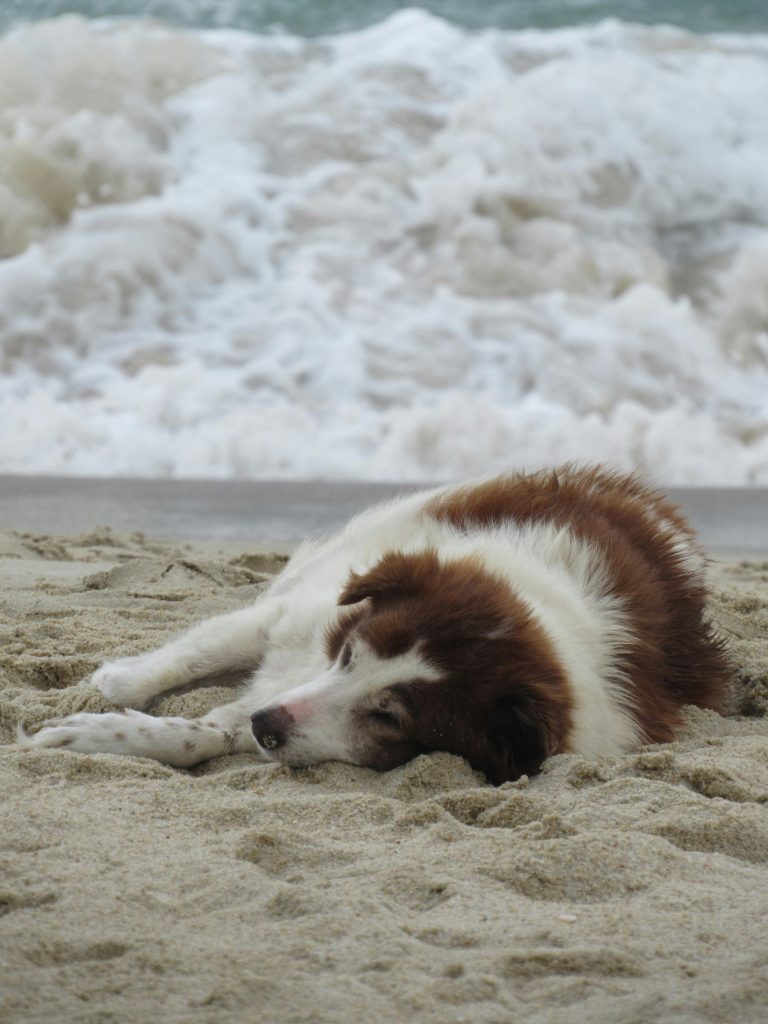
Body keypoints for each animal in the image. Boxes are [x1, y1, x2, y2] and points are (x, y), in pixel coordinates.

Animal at [18, 464, 729, 782]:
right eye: (350, 654)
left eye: (390, 717)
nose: (268, 723)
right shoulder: (304, 614)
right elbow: (193, 659)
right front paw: (107, 690)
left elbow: (207, 732)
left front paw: (107, 735)